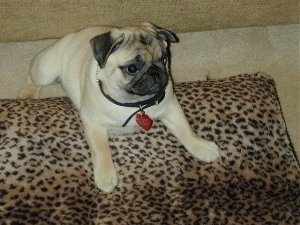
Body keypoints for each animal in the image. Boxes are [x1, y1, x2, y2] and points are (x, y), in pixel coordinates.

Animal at [25, 22, 220, 192]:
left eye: (164, 59)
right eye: (132, 68)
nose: (155, 71)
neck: (134, 102)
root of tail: (72, 35)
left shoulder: (171, 107)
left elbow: (185, 130)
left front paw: (201, 147)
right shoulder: (93, 124)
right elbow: (101, 150)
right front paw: (105, 176)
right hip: (45, 71)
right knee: (33, 77)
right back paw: (29, 96)